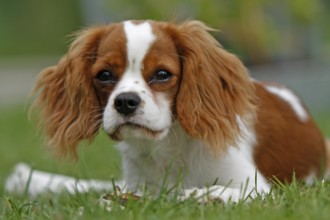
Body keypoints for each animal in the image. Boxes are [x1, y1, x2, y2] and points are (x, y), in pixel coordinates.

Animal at [4, 20, 328, 203]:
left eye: (162, 74)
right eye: (104, 75)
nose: (125, 102)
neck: (168, 147)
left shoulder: (261, 187)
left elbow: (226, 192)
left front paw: (201, 195)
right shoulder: (135, 185)